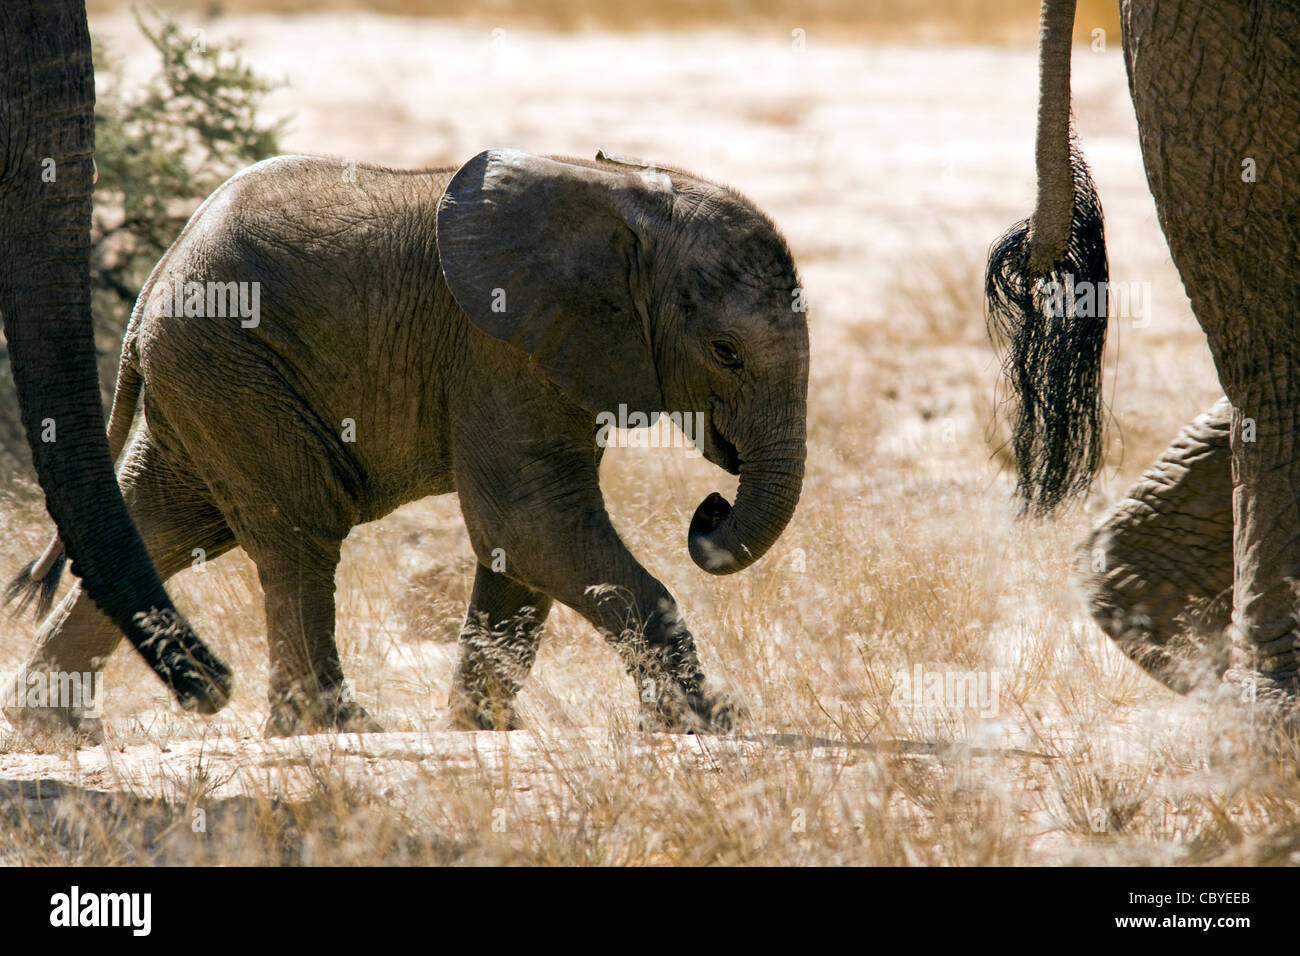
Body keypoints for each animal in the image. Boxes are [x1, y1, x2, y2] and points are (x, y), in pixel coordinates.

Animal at [5, 149, 806, 738]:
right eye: (727, 352)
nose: (710, 509)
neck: (629, 193)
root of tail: (150, 290)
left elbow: (520, 540)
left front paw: (481, 726)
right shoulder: (497, 345)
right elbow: (530, 520)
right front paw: (709, 721)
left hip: (207, 379)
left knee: (161, 523)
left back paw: (55, 727)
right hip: (230, 367)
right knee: (298, 530)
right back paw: (332, 726)